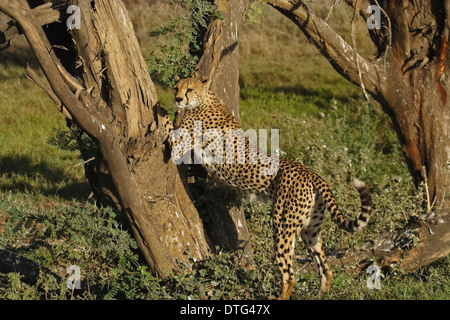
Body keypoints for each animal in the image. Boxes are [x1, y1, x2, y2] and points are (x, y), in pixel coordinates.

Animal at [163, 77, 370, 300]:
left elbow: (166, 126)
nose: (177, 99)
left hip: (282, 225)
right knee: (325, 268)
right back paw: (321, 295)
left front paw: (159, 113)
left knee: (289, 275)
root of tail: (311, 173)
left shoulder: (179, 145)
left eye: (189, 89)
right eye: (176, 88)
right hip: (310, 229)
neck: (204, 100)